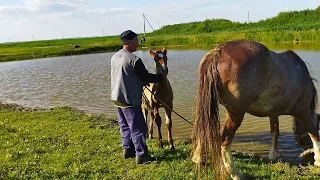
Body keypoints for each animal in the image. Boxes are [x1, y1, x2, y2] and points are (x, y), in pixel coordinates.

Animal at [191, 40, 318, 179]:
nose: (303, 144)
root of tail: (220, 50)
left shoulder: (273, 113)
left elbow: (275, 131)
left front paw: (273, 155)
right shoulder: (303, 111)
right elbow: (314, 132)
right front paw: (318, 160)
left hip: (208, 105)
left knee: (203, 127)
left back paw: (197, 158)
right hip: (236, 113)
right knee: (224, 139)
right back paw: (235, 173)